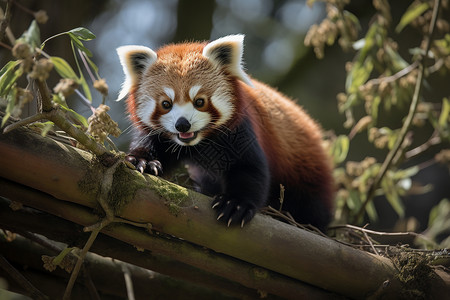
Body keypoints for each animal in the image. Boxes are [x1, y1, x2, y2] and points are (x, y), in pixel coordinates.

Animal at [117, 34, 334, 230]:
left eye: (200, 101)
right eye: (166, 104)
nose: (182, 125)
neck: (199, 142)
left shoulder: (240, 131)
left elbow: (249, 168)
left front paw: (235, 203)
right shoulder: (158, 136)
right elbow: (149, 146)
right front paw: (143, 161)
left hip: (305, 171)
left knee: (312, 205)